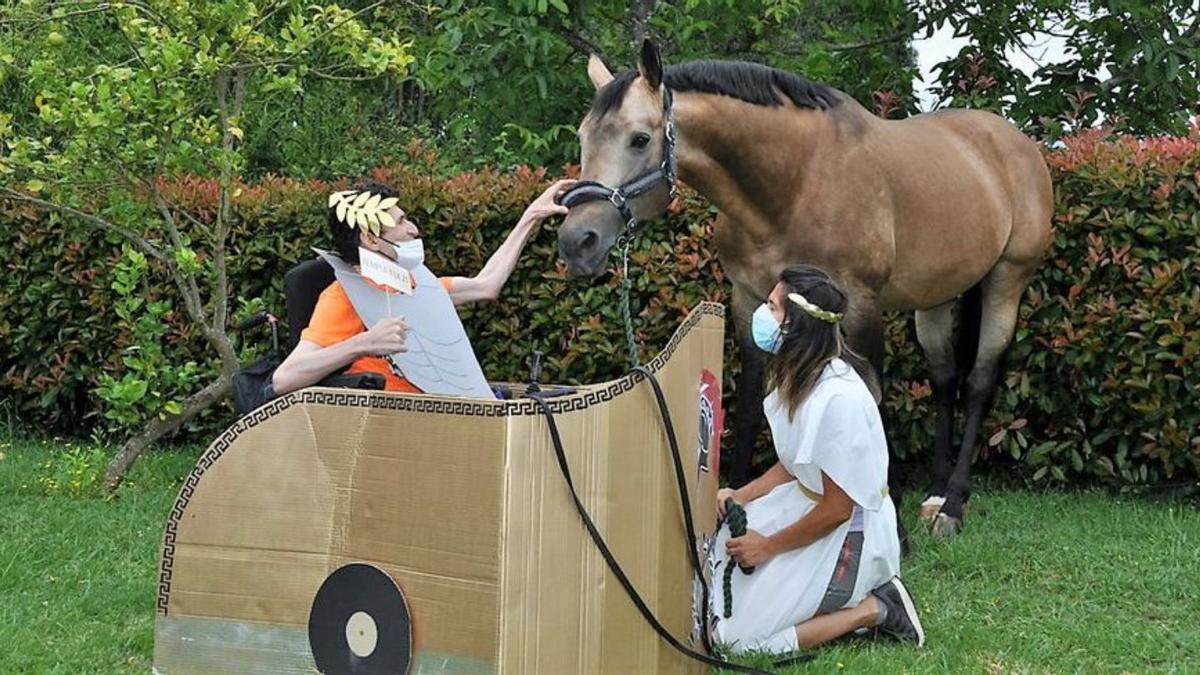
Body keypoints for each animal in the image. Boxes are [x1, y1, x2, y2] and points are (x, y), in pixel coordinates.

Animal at [554, 42, 1051, 535]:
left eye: (639, 139)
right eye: (583, 137)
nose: (577, 241)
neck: (795, 181)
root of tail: (1016, 144)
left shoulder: (860, 306)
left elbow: (872, 396)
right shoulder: (749, 300)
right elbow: (751, 401)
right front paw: (733, 501)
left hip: (1007, 280)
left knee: (980, 382)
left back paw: (952, 505)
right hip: (935, 296)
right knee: (945, 381)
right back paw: (934, 493)